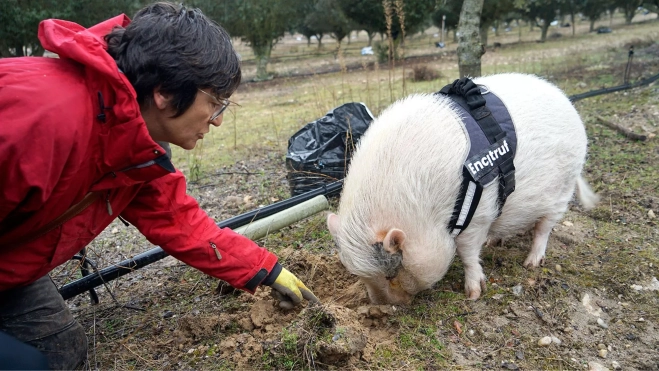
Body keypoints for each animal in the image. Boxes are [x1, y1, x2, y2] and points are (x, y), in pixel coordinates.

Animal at [328, 72, 600, 306]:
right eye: (359, 274)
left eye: (390, 276)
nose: (380, 306)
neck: (423, 214)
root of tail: (569, 105)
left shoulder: (478, 214)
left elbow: (467, 252)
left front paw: (473, 294)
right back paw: (494, 242)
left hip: (562, 190)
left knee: (544, 228)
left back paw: (531, 264)